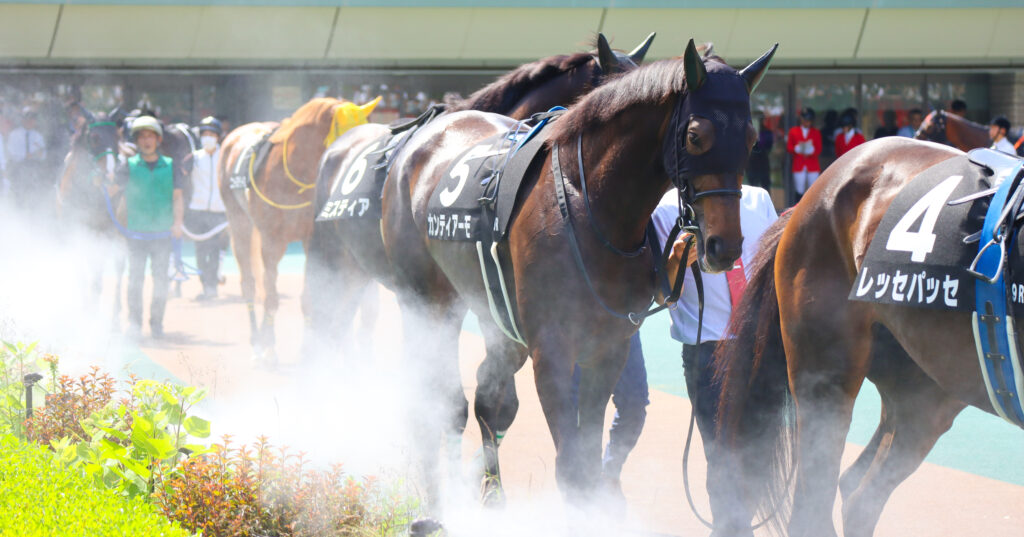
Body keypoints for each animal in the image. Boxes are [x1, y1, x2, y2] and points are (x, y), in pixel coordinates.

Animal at [217, 97, 379, 360]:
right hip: (239, 221)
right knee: (250, 283)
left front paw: (309, 349)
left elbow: (310, 297)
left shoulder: (309, 238)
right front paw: (269, 347)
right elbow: (271, 294)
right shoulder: (271, 241)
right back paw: (256, 342)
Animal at [379, 40, 776, 508]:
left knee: (488, 399)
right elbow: (571, 469)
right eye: (696, 136)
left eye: (751, 138)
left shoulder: (608, 349)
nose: (723, 246)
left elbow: (586, 460)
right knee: (433, 395)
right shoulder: (552, 352)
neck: (589, 206)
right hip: (426, 302)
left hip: (493, 317)